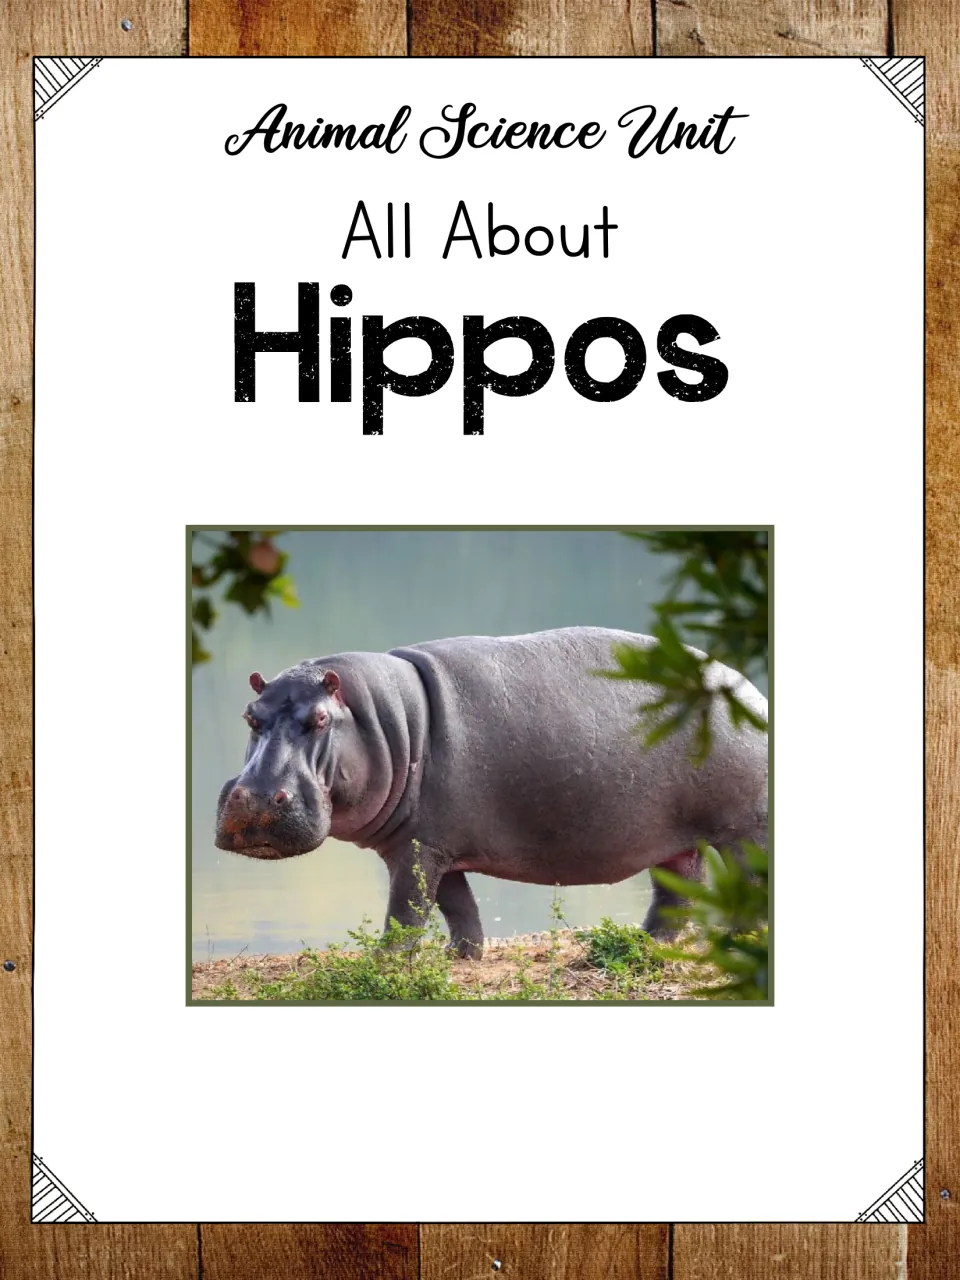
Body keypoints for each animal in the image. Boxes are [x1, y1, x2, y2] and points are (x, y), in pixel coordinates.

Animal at [214, 626, 768, 956]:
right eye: (249, 715)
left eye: (321, 719)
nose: (255, 798)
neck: (385, 720)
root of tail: (749, 687)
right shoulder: (430, 844)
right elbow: (456, 906)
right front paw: (461, 958)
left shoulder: (418, 849)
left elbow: (406, 909)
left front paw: (384, 961)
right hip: (676, 839)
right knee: (677, 889)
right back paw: (648, 941)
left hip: (743, 830)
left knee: (747, 882)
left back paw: (738, 939)